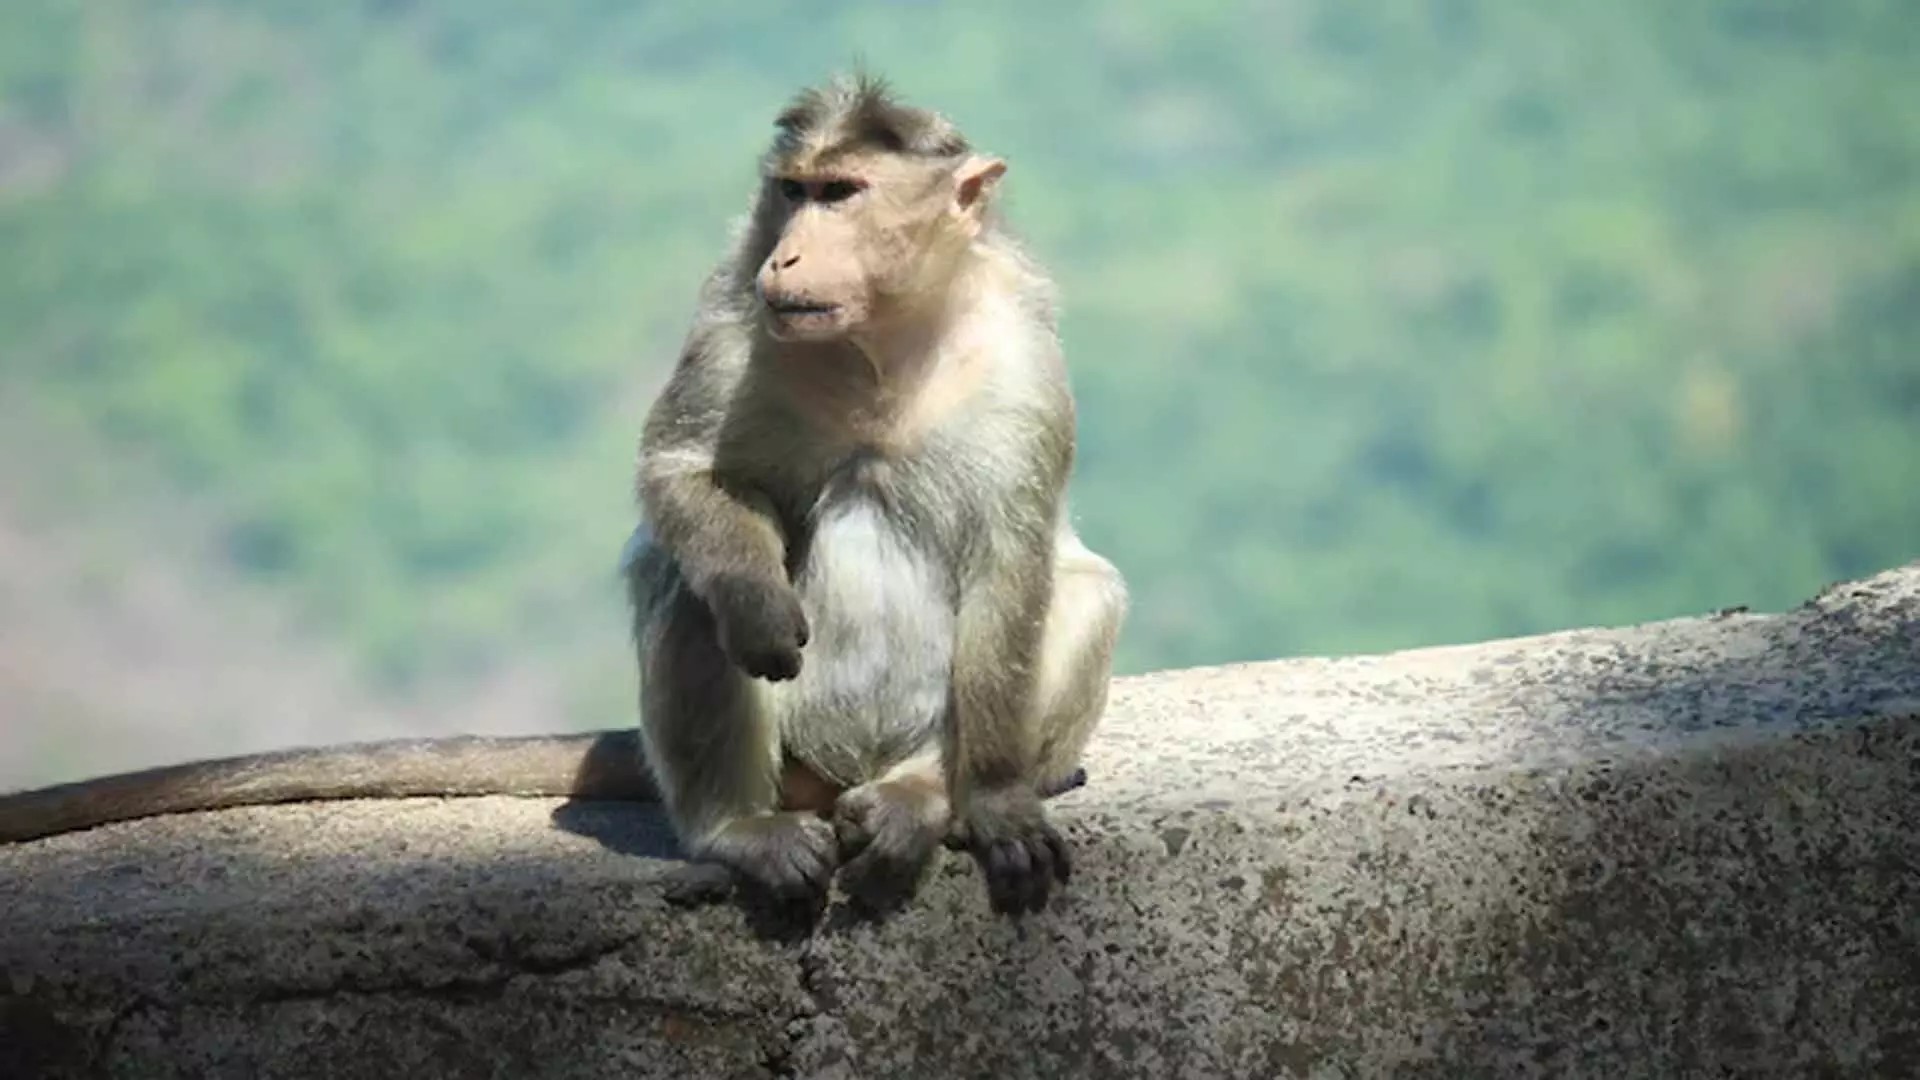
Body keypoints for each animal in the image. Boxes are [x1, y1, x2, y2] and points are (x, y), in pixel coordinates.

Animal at [614, 73, 1121, 914]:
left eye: (842, 192)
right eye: (795, 190)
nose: (787, 255)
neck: (880, 341)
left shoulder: (1021, 354)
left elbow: (1010, 560)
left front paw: (995, 801)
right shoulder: (732, 311)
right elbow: (683, 469)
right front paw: (755, 599)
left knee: (1086, 591)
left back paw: (922, 795)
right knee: (684, 581)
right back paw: (740, 830)